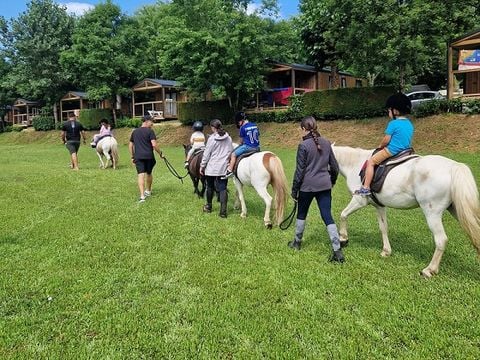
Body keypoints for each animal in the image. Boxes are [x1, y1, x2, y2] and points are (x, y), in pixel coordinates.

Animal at [332, 145, 480, 278]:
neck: (354, 163)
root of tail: (453, 166)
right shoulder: (379, 206)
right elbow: (383, 228)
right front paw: (386, 251)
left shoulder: (359, 200)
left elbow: (343, 215)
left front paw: (343, 238)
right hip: (457, 211)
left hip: (432, 213)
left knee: (441, 240)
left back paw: (429, 270)